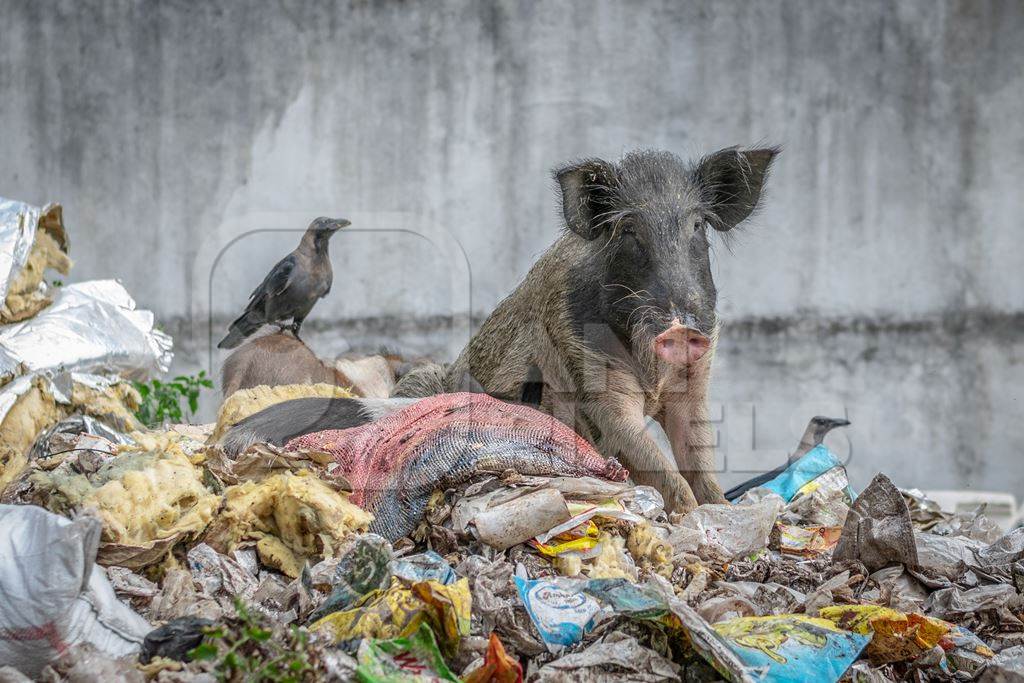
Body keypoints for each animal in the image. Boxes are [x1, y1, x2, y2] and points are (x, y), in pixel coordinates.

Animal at [395, 148, 778, 511]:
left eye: (697, 225)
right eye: (628, 230)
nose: (679, 328)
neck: (654, 377)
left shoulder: (695, 378)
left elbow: (699, 459)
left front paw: (723, 510)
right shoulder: (593, 380)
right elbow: (657, 463)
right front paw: (688, 515)